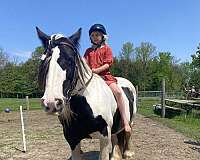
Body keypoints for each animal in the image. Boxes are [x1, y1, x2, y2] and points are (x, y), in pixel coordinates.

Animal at [36, 26, 136, 159]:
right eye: (44, 61)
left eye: (70, 60)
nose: (52, 103)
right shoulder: (72, 138)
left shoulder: (104, 137)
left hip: (131, 119)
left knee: (128, 131)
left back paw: (128, 152)